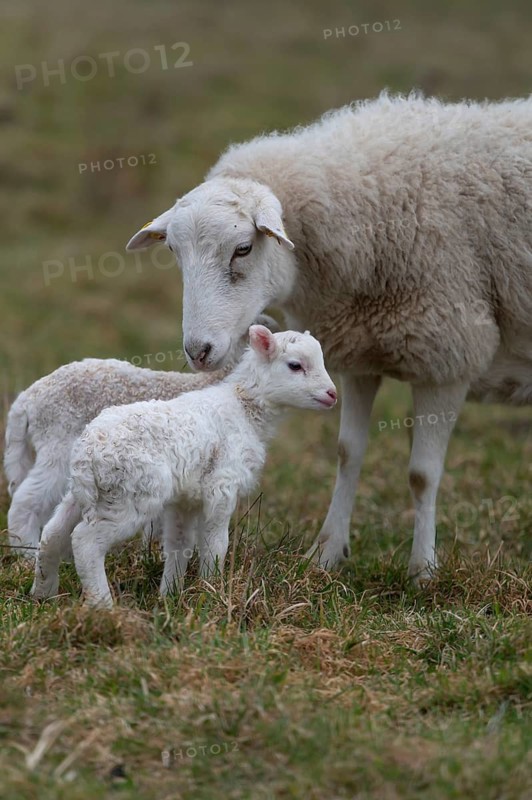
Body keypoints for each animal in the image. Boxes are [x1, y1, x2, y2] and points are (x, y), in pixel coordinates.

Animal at [31, 326, 337, 607]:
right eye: (295, 365)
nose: (332, 394)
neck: (244, 407)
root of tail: (87, 456)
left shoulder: (185, 498)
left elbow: (179, 544)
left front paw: (170, 596)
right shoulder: (222, 485)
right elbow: (215, 543)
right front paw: (212, 592)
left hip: (85, 495)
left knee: (52, 534)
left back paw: (43, 594)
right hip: (130, 496)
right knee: (85, 542)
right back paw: (102, 605)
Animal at [125, 92, 532, 581]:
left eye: (243, 249)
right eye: (172, 251)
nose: (198, 351)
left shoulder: (449, 355)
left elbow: (422, 475)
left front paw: (423, 571)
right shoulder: (361, 352)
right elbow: (347, 452)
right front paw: (325, 554)